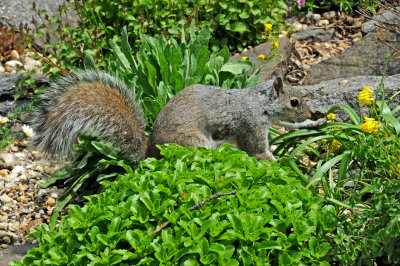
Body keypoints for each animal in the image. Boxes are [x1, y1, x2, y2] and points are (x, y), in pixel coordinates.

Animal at [31, 70, 324, 162]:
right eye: (294, 101)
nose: (311, 110)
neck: (258, 102)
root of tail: (150, 151)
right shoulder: (250, 125)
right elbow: (258, 151)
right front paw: (280, 163)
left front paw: (314, 122)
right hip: (192, 142)